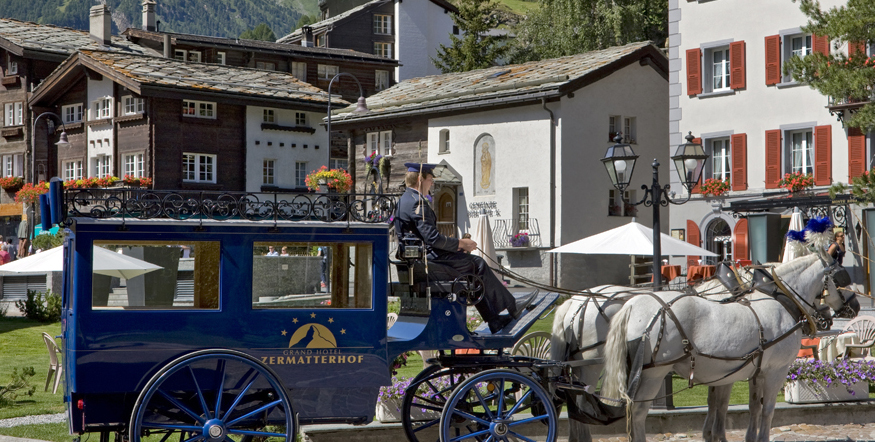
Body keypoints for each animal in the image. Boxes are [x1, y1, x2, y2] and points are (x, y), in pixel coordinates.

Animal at [604, 252, 856, 442]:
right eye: (839, 278)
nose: (853, 305)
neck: (779, 300)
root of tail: (633, 305)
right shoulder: (776, 370)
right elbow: (767, 410)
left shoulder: (753, 371)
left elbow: (752, 407)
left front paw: (749, 438)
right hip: (653, 374)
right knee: (637, 414)